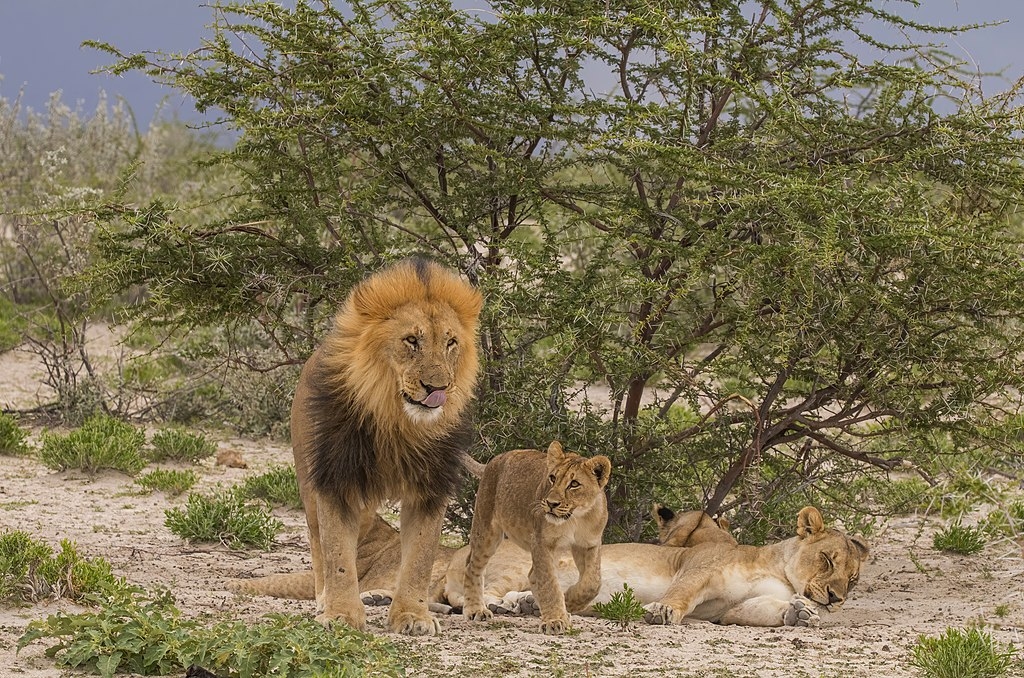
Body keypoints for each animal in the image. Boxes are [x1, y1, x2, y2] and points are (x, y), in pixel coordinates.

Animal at [286, 259, 481, 639]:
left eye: (450, 343)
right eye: (411, 340)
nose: (438, 388)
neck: (397, 421)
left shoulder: (429, 489)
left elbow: (420, 558)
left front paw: (413, 616)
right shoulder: (336, 480)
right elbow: (338, 555)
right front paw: (341, 614)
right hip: (307, 480)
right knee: (318, 545)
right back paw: (323, 598)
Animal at [462, 440, 606, 639]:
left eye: (574, 484)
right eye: (552, 478)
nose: (551, 504)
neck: (576, 518)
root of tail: (494, 460)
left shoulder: (589, 544)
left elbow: (592, 582)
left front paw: (569, 603)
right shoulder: (541, 542)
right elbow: (549, 582)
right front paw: (555, 619)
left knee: (532, 575)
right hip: (486, 531)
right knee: (472, 567)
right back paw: (476, 610)